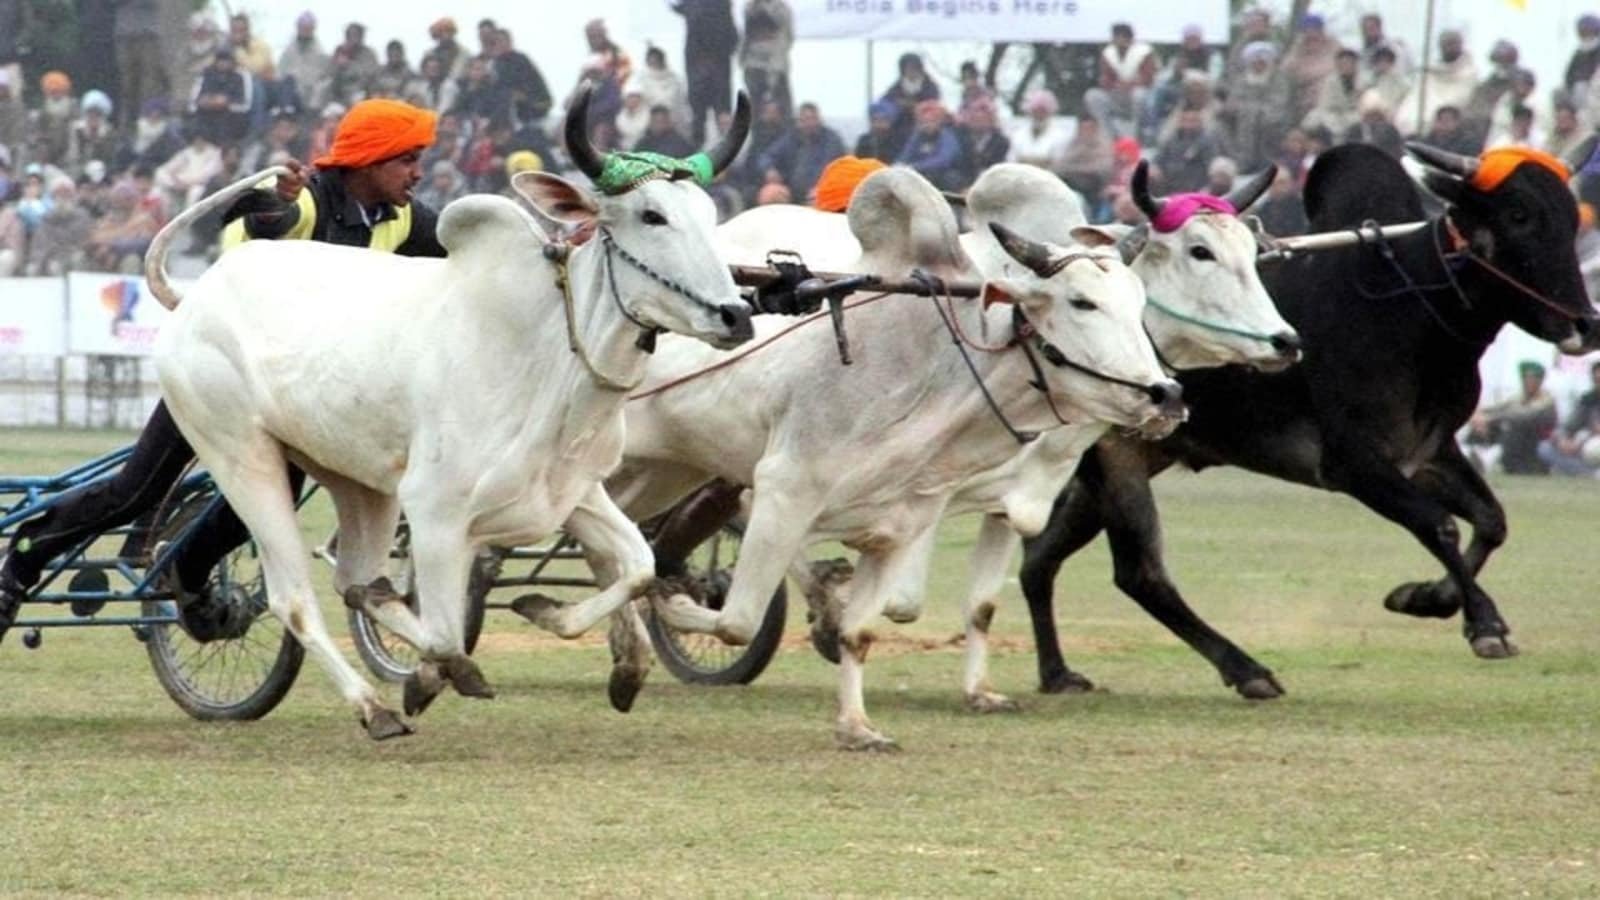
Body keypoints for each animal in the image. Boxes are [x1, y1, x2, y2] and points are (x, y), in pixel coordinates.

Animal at [145, 89, 755, 736]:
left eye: (709, 214)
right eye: (651, 216)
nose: (736, 314)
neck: (546, 356)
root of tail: (195, 296)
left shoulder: (574, 493)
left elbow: (638, 564)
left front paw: (572, 630)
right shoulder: (436, 515)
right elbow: (444, 635)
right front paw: (432, 676)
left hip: (360, 484)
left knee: (354, 580)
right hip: (243, 458)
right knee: (295, 597)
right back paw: (372, 706)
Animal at [582, 164, 1184, 746]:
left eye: (1139, 304)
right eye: (1081, 301)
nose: (1168, 395)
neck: (932, 367)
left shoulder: (902, 522)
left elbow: (865, 631)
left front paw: (857, 727)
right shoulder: (782, 490)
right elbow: (737, 619)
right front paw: (678, 603)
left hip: (656, 472)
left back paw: (624, 658)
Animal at [720, 157, 1292, 711]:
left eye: (1250, 250)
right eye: (1200, 251)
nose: (1285, 340)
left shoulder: (1007, 499)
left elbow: (980, 601)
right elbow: (901, 597)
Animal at [1024, 141, 1600, 695]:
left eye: (1573, 218)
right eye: (1519, 214)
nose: (1584, 324)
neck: (1412, 312)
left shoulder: (1427, 453)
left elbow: (1491, 520)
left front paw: (1422, 598)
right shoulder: (1353, 464)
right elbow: (1439, 526)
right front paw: (1485, 624)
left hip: (1126, 461)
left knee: (1040, 563)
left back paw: (1058, 673)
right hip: (1115, 458)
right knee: (1139, 574)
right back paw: (1245, 668)